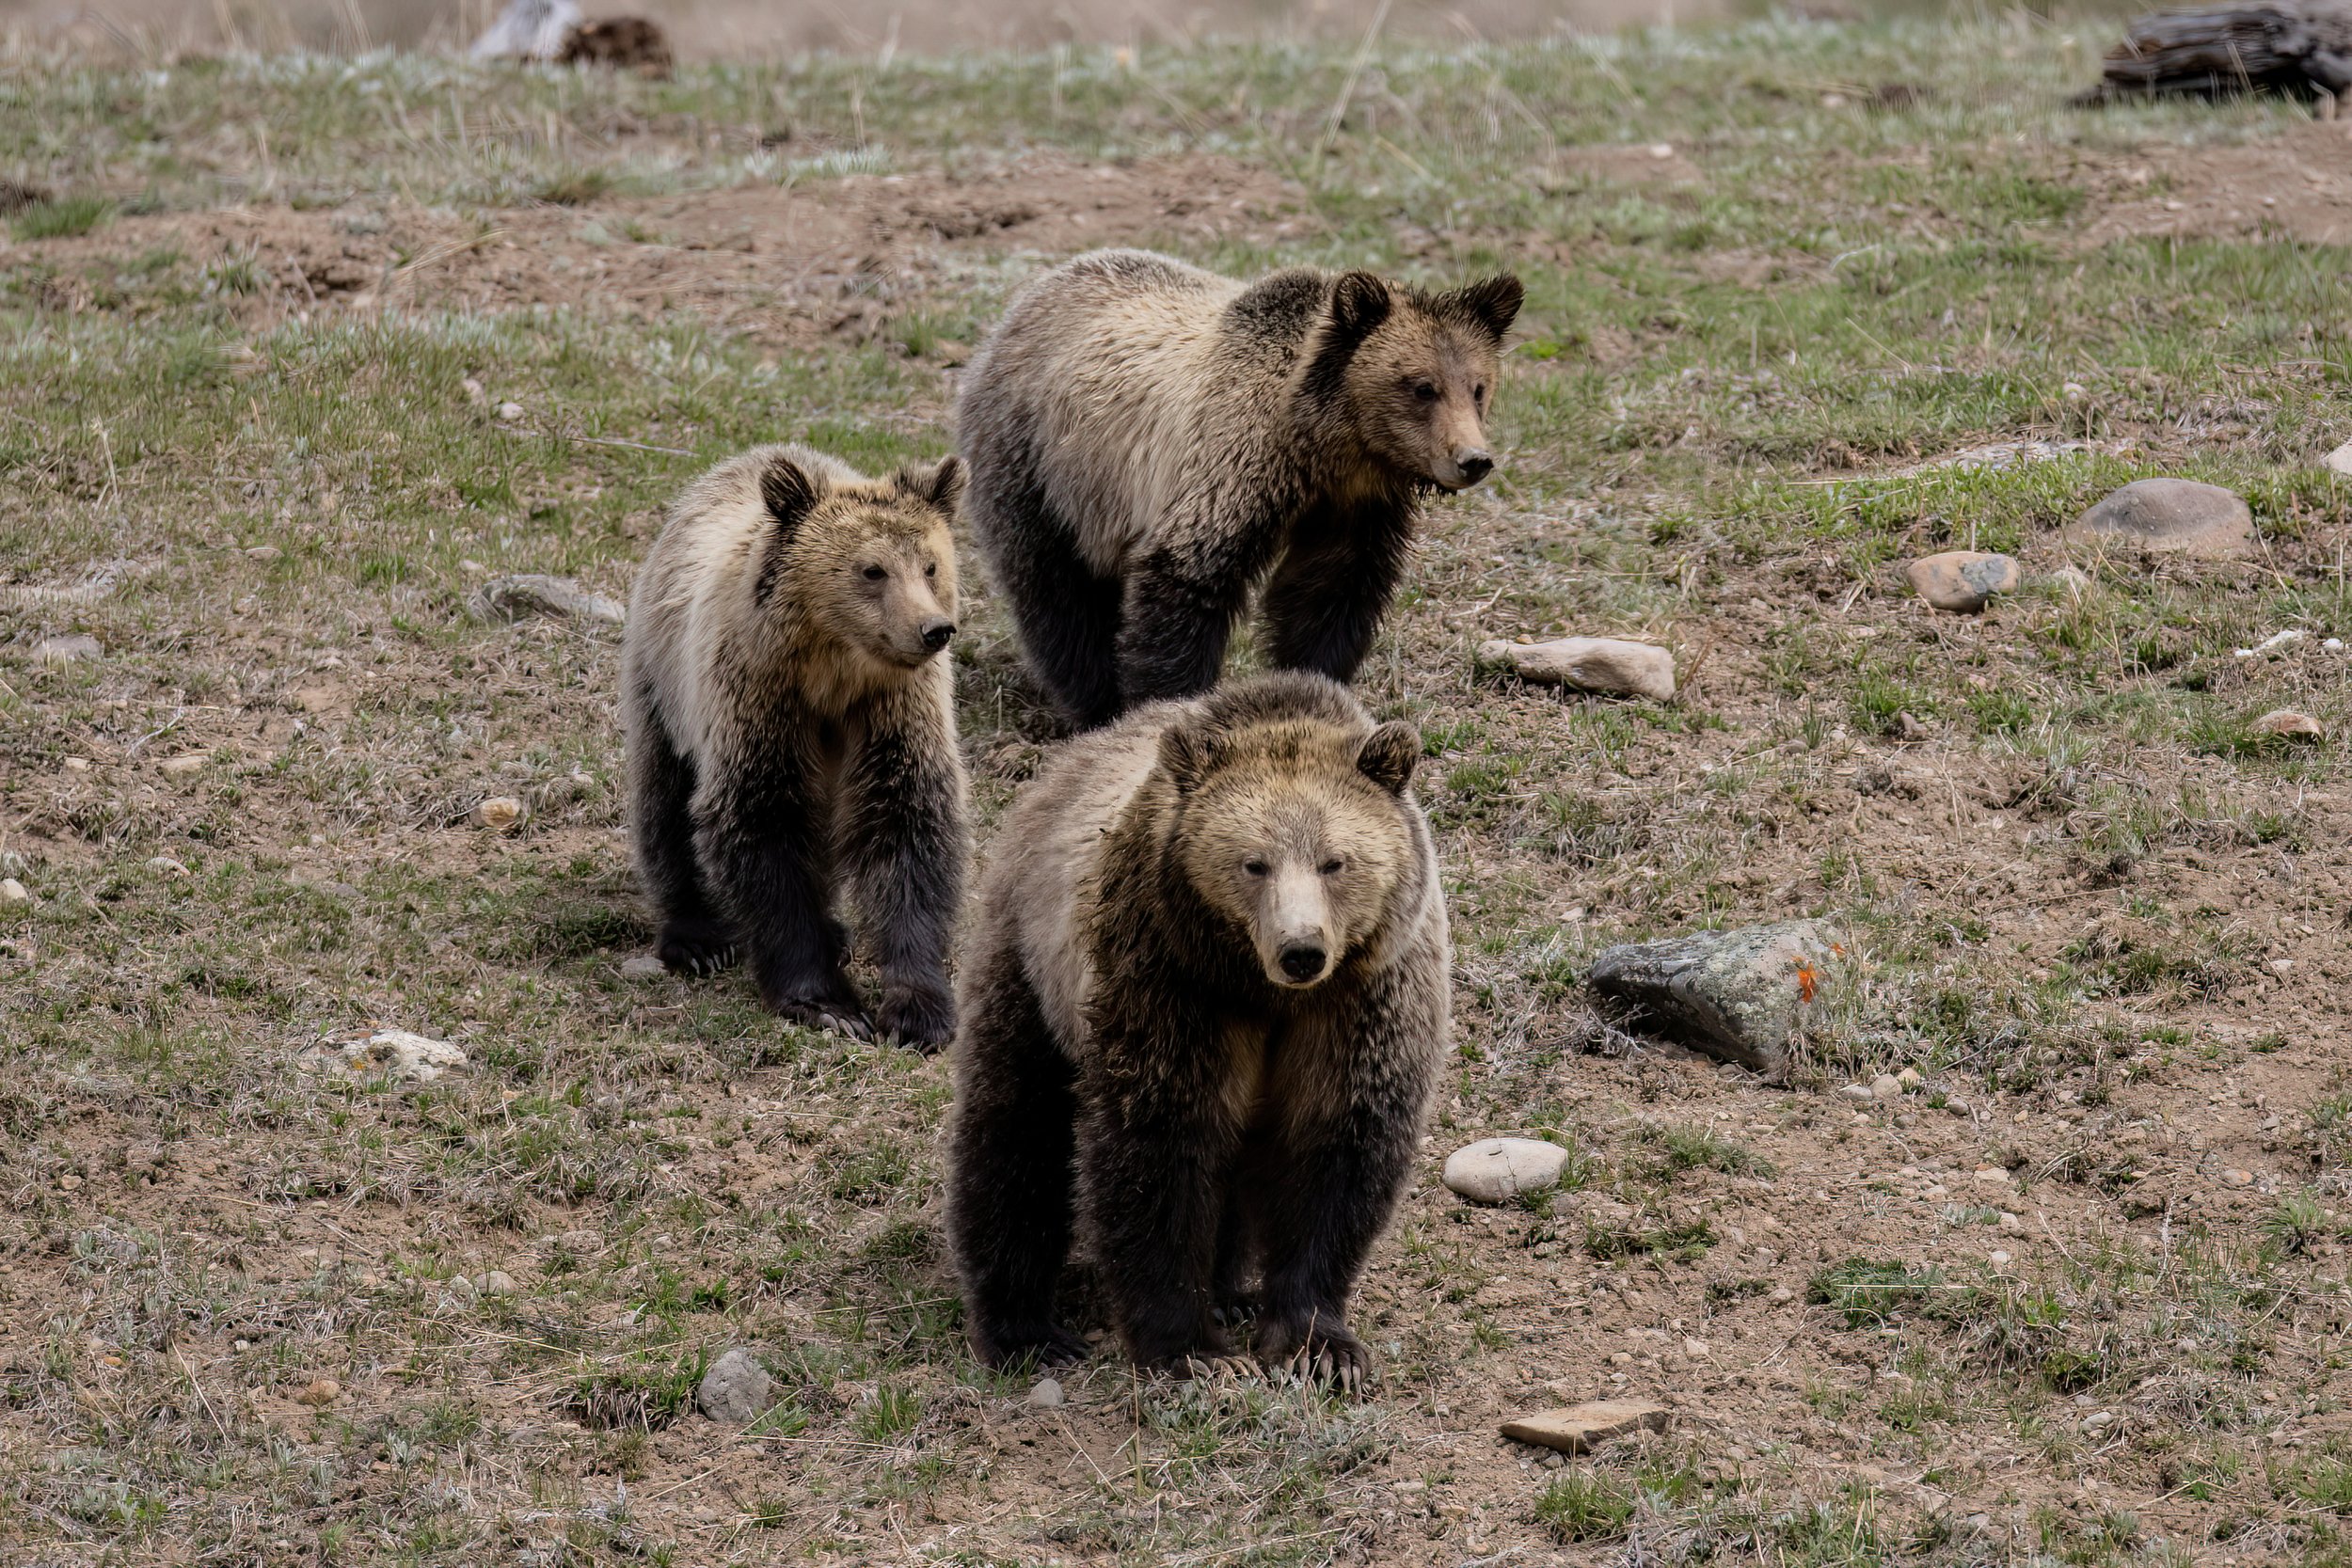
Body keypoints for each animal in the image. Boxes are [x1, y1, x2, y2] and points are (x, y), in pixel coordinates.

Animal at [621, 444, 969, 1047]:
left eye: (930, 564)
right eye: (872, 569)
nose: (934, 629)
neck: (833, 672)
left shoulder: (894, 709)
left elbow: (909, 824)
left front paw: (918, 1009)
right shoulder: (757, 694)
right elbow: (761, 821)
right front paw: (828, 1003)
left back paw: (836, 930)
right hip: (664, 684)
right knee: (664, 801)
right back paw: (697, 936)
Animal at [944, 670, 1449, 1387]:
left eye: (1335, 861)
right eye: (1254, 862)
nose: (1301, 950)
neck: (1262, 991)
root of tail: (1067, 759)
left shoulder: (1361, 999)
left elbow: (1338, 1150)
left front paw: (1320, 1347)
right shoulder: (1176, 985)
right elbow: (1159, 1147)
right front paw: (1194, 1351)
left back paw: (1231, 1292)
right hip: (1032, 963)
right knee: (1014, 1127)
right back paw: (1025, 1329)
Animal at [956, 248, 1521, 728]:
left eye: (1477, 387)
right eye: (1423, 387)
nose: (1473, 460)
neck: (1326, 447)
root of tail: (1026, 300)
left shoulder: (1354, 508)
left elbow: (1329, 594)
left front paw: (1318, 687)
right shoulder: (1228, 468)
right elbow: (1186, 581)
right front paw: (1168, 703)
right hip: (1042, 464)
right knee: (1056, 589)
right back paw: (1093, 703)